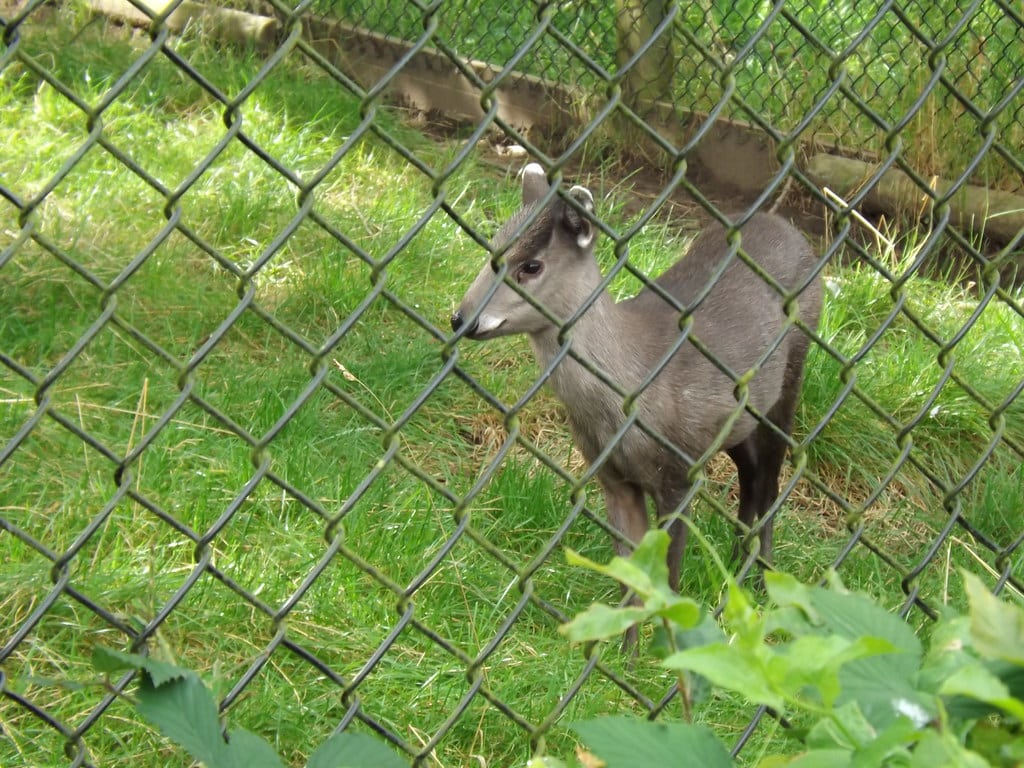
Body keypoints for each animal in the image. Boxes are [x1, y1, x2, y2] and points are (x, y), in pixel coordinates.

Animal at [450, 163, 822, 607]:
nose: (461, 318)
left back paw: (766, 582)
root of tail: (793, 233)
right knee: (751, 478)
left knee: (769, 481)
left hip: (790, 376)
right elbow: (631, 581)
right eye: (492, 248)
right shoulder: (611, 475)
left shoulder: (679, 471)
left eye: (532, 266)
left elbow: (669, 577)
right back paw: (736, 569)